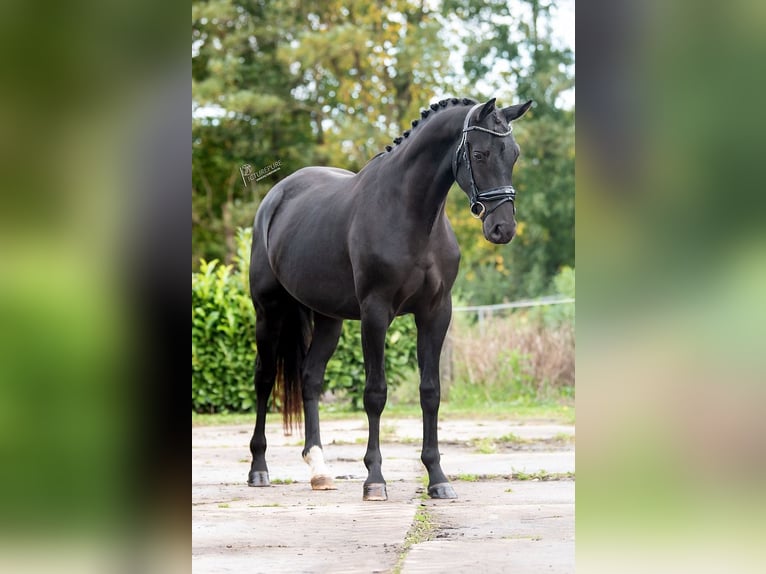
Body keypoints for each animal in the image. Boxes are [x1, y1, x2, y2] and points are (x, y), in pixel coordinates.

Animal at [249, 97, 532, 502]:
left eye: (514, 154)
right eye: (479, 154)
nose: (503, 228)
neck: (410, 213)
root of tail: (275, 197)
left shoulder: (435, 313)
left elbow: (430, 392)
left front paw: (437, 477)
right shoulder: (375, 313)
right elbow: (375, 393)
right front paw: (374, 479)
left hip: (329, 319)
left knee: (310, 378)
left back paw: (320, 470)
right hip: (268, 313)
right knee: (264, 378)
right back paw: (259, 468)